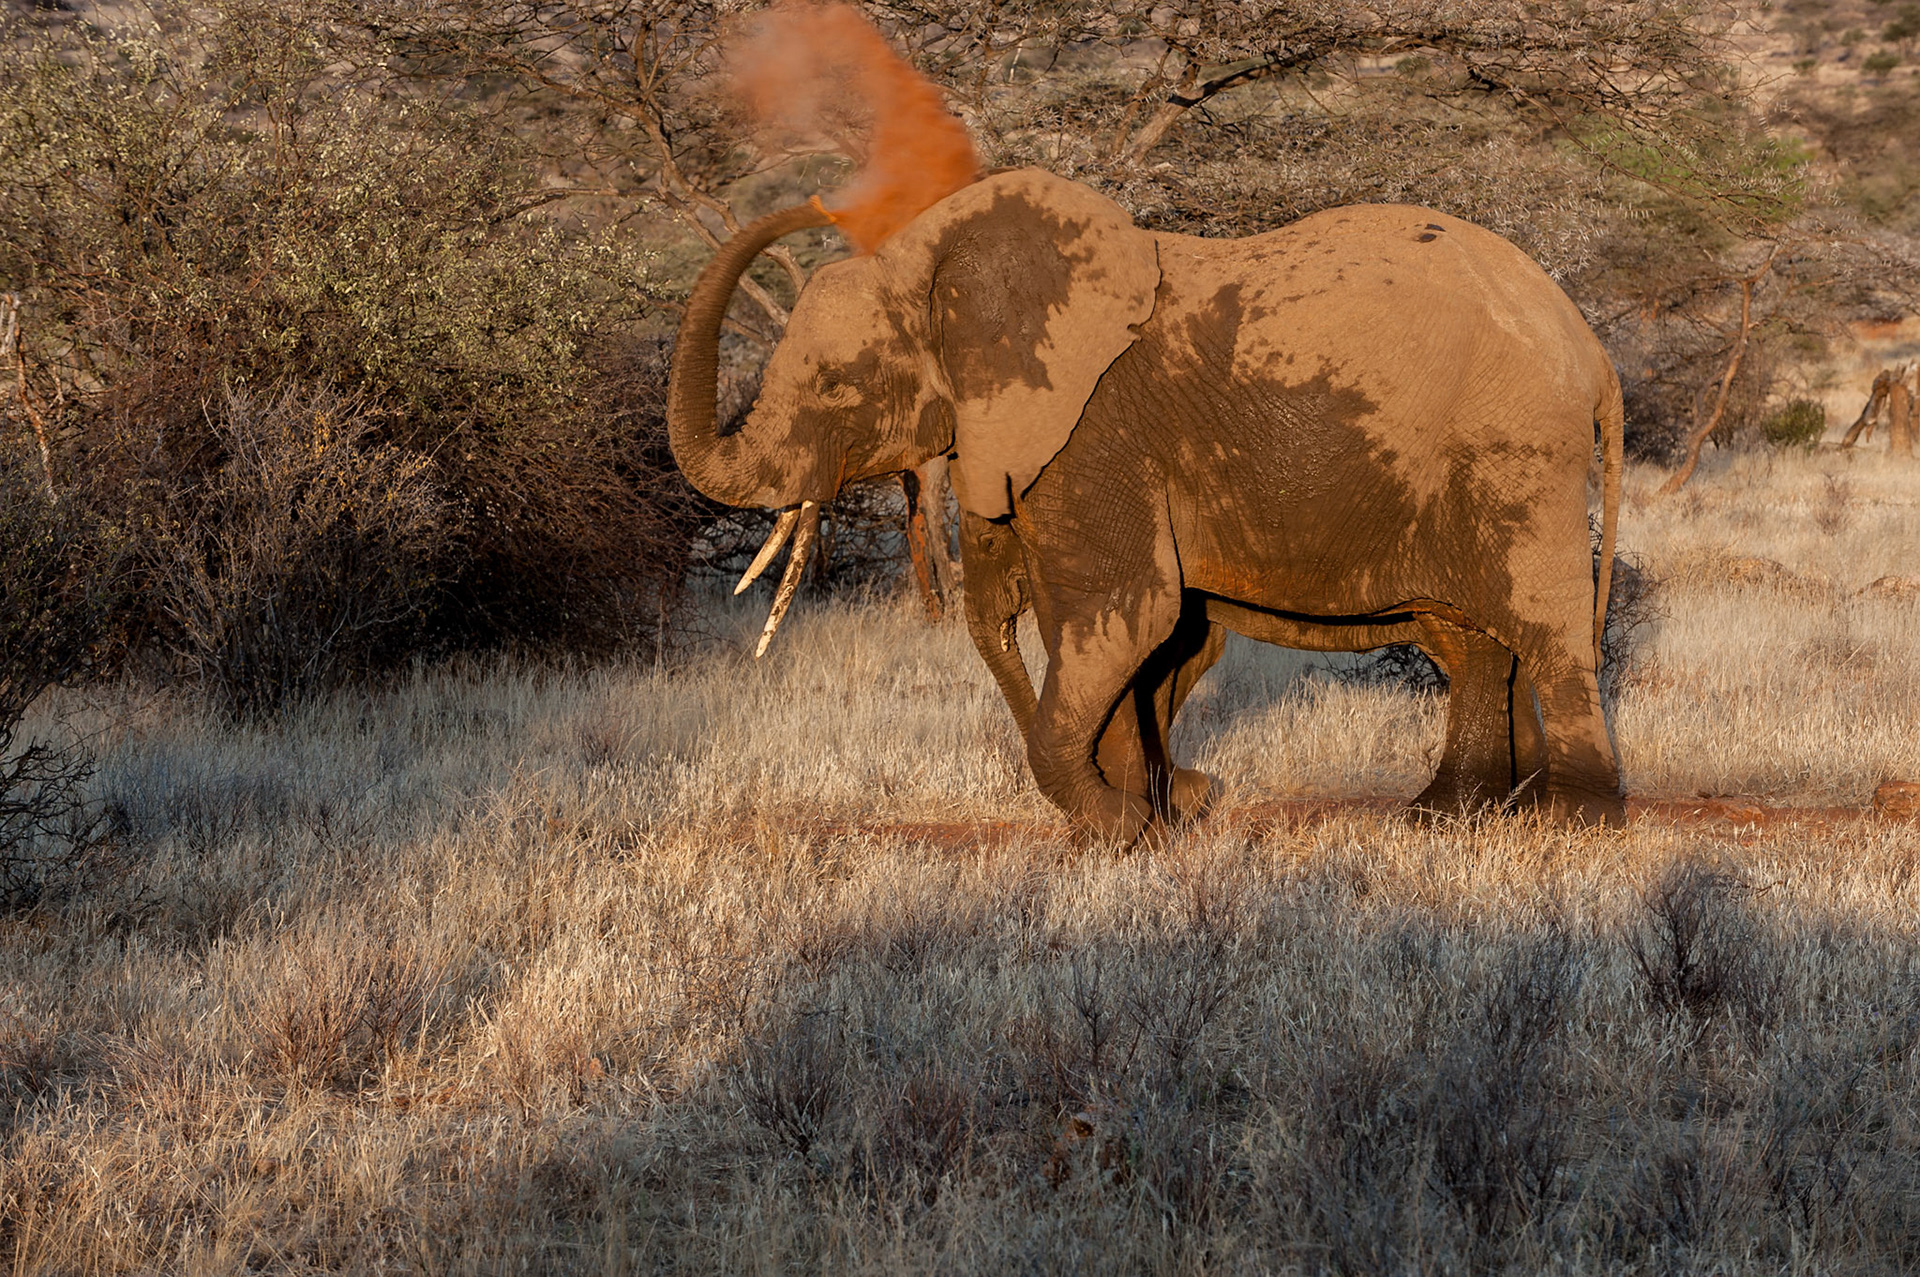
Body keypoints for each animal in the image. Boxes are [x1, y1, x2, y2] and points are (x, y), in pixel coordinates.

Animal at [668, 167, 1624, 842]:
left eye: (837, 385)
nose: (815, 203)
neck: (932, 255)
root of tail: (1589, 348)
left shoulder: (1092, 431)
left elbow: (1128, 613)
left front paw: (1120, 826)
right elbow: (1138, 635)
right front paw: (1156, 817)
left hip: (1516, 451)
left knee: (1544, 626)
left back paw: (1572, 823)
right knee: (1471, 638)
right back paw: (1447, 815)